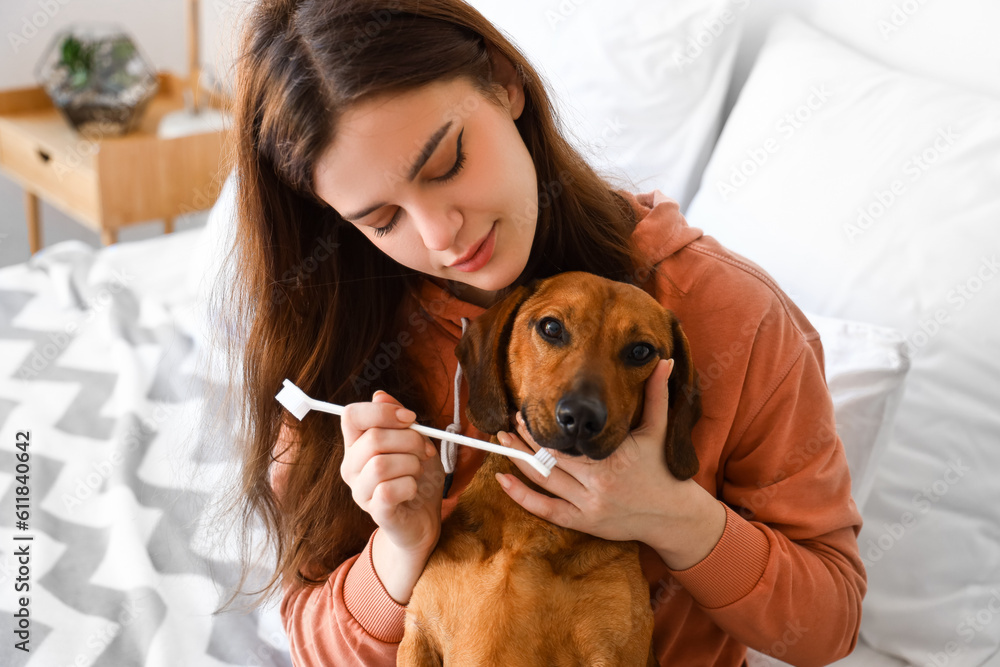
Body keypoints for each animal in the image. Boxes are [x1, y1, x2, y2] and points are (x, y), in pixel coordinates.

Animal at [398, 272, 704, 667]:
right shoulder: (418, 635)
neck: (531, 530)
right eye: (551, 327)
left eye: (641, 351)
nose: (582, 417)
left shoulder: (615, 654)